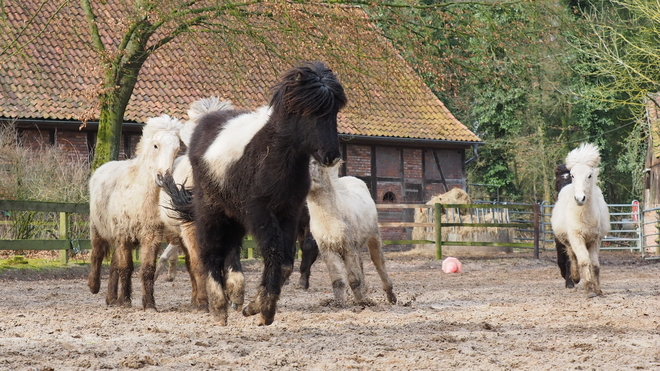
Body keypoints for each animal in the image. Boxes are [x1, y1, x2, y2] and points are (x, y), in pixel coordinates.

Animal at [88, 115, 183, 310]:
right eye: (156, 145)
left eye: (177, 149)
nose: (164, 178)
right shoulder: (123, 234)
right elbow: (126, 267)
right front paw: (125, 301)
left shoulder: (151, 236)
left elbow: (147, 269)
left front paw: (149, 304)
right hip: (98, 230)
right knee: (97, 255)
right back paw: (95, 287)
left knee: (114, 263)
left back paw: (111, 298)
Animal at [306, 159, 398, 306]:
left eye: (314, 162)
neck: (331, 220)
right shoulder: (328, 249)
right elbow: (337, 281)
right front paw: (338, 303)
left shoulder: (349, 247)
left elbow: (354, 280)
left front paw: (361, 303)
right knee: (361, 264)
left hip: (373, 236)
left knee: (378, 261)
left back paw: (391, 297)